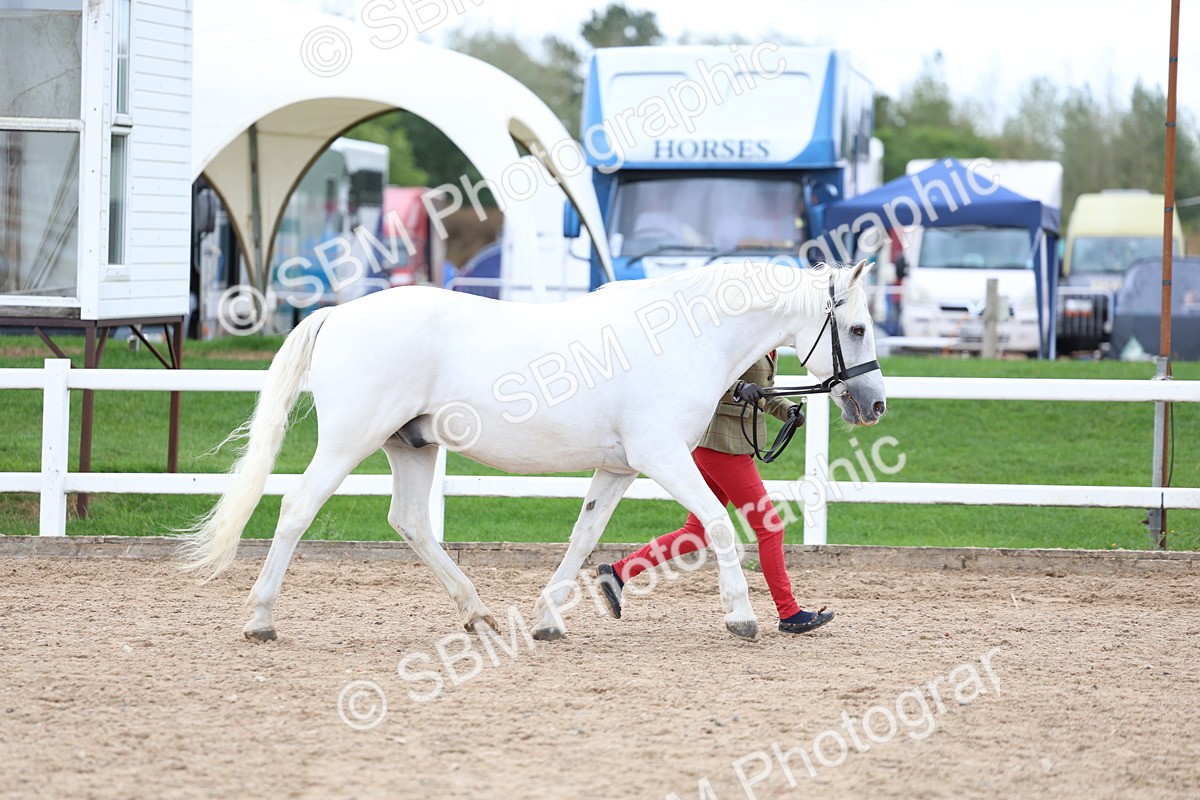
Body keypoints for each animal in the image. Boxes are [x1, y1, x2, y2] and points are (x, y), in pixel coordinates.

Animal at [179, 259, 886, 642]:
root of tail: (336, 314)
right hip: (348, 441)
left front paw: (550, 619)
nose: (874, 404)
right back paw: (260, 620)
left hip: (411, 446)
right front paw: (741, 617)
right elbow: (715, 523)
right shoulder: (661, 457)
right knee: (296, 511)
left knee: (410, 522)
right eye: (855, 327)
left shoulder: (618, 467)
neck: (683, 339)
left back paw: (479, 615)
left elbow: (584, 536)